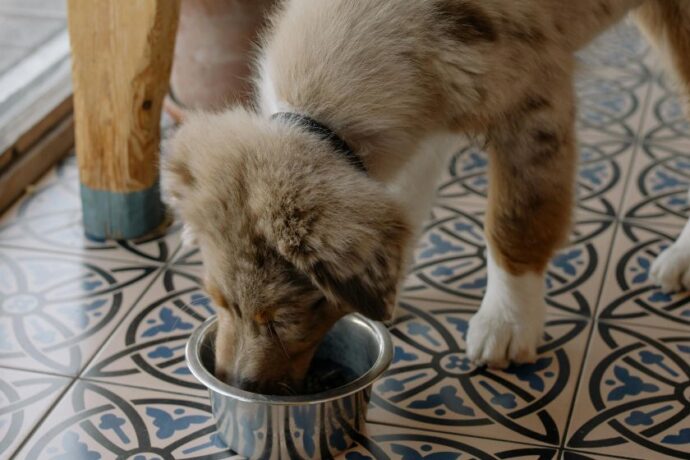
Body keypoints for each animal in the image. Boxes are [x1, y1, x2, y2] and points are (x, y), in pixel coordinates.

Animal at [161, 0, 688, 396]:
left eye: (281, 318)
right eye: (217, 301)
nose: (234, 383)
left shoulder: (534, 103)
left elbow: (515, 220)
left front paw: (507, 323)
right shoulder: (432, 110)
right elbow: (404, 200)